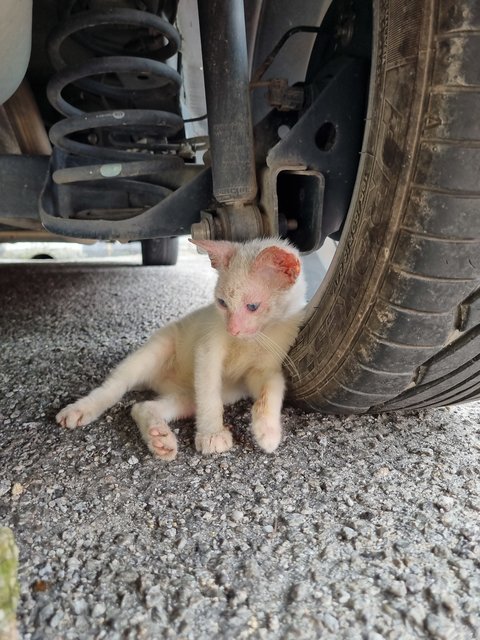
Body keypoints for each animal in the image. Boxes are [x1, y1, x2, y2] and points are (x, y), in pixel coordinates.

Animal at [56, 238, 304, 458]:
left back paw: (159, 438)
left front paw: (268, 432)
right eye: (222, 303)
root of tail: (160, 382)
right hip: (156, 349)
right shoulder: (207, 349)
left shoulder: (264, 369)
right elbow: (209, 394)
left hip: (193, 395)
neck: (255, 339)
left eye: (252, 306)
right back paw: (80, 410)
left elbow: (270, 390)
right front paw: (212, 434)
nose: (232, 329)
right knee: (114, 387)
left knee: (142, 406)